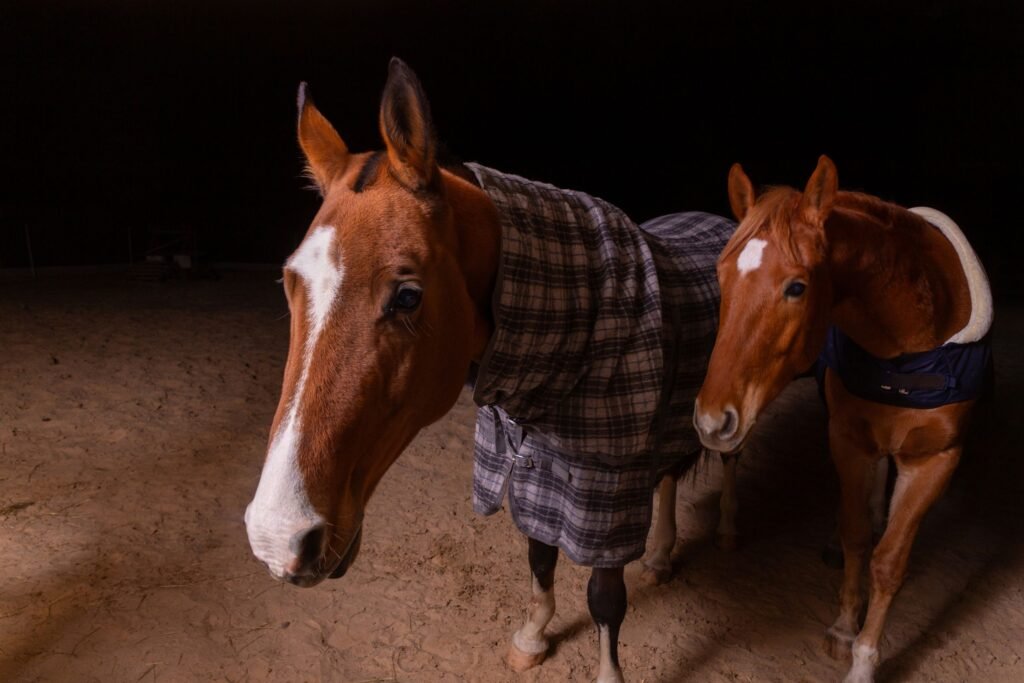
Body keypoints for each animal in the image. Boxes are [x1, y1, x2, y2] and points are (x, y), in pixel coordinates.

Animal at [243, 58, 740, 683]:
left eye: (408, 296)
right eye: (288, 282)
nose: (277, 536)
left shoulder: (604, 493)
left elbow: (604, 598)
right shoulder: (532, 472)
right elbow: (540, 559)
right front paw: (532, 636)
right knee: (672, 474)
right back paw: (660, 555)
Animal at [693, 156, 993, 683]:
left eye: (796, 287)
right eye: (721, 275)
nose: (712, 421)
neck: (906, 353)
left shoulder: (935, 461)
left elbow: (889, 561)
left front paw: (865, 660)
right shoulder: (849, 440)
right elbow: (856, 539)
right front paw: (843, 627)